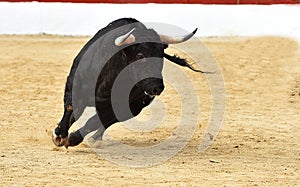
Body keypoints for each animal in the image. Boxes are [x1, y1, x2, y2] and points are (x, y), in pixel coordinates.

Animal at [52, 17, 206, 148]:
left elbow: (97, 120)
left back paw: (95, 138)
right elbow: (71, 108)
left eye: (161, 55)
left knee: (104, 121)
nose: (157, 87)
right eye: (140, 55)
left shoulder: (128, 105)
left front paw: (73, 138)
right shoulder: (75, 85)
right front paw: (59, 135)